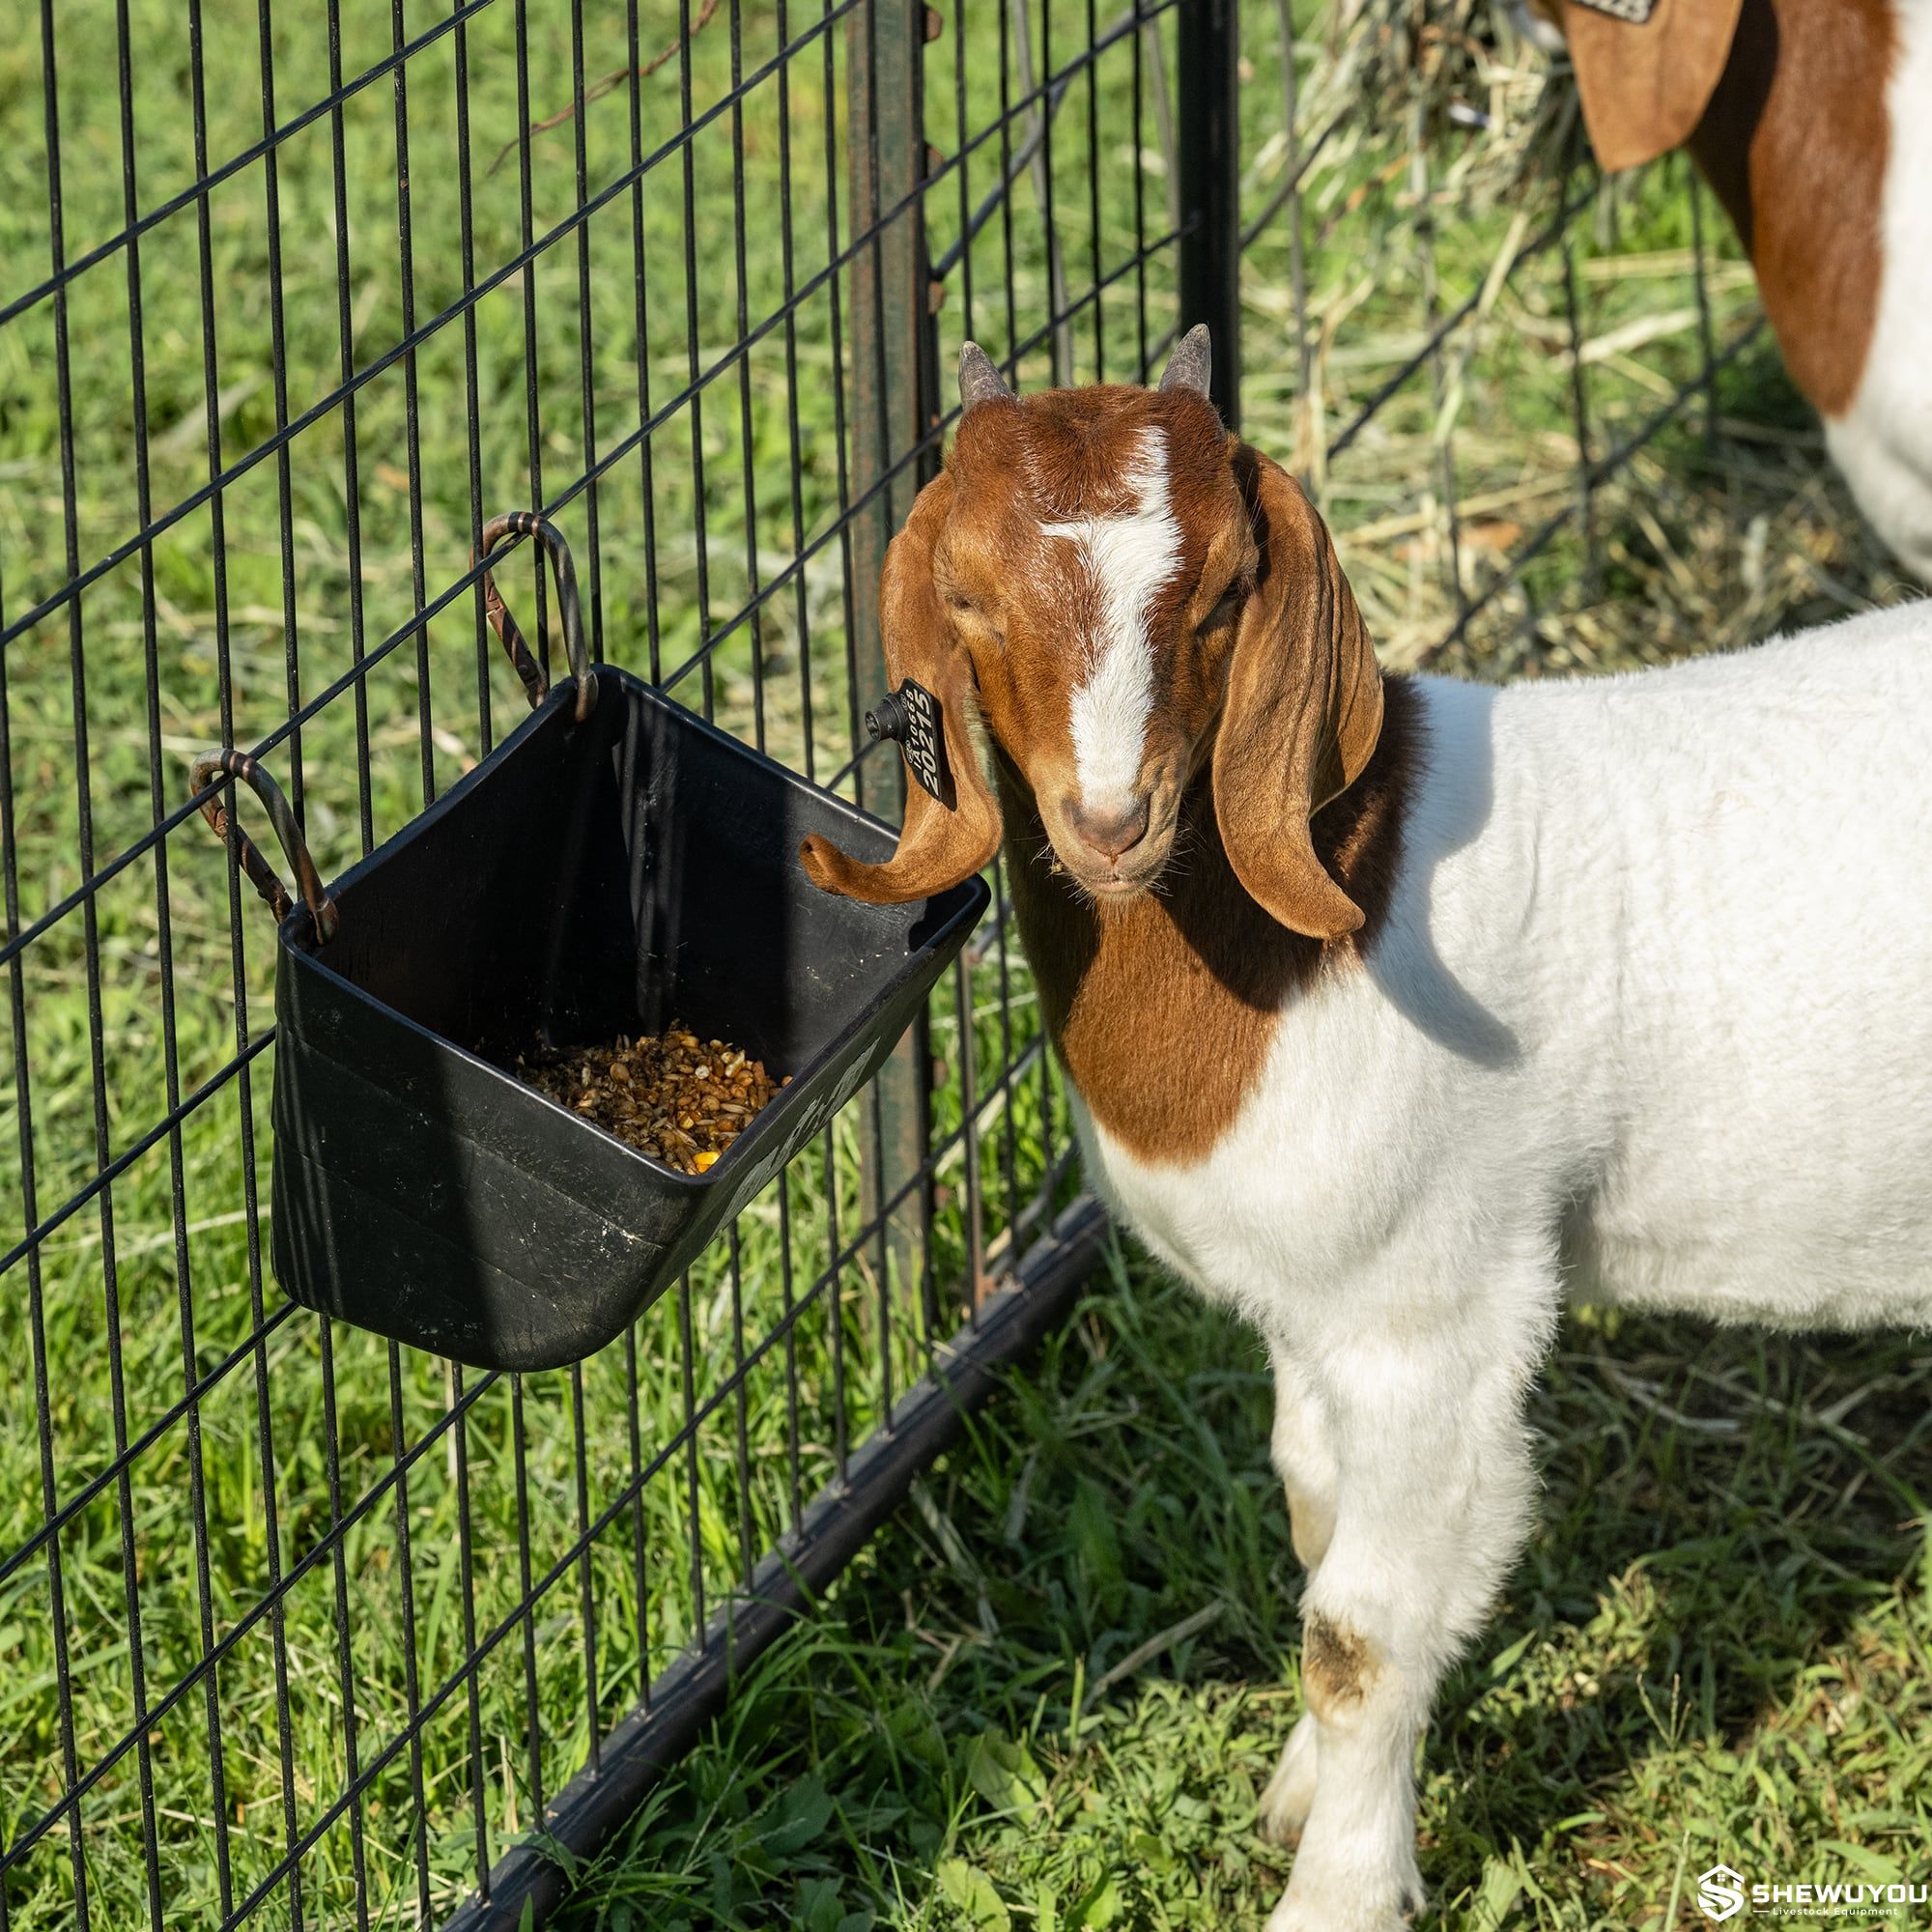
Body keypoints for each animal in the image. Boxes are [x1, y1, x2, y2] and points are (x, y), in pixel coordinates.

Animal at [800, 328, 1932, 1932]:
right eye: (963, 596)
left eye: (1223, 590)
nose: (1112, 822)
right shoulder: (1312, 1306)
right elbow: (1312, 1517)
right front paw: (1297, 1791)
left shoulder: (1430, 1317)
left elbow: (1360, 1634)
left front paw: (1337, 1890)